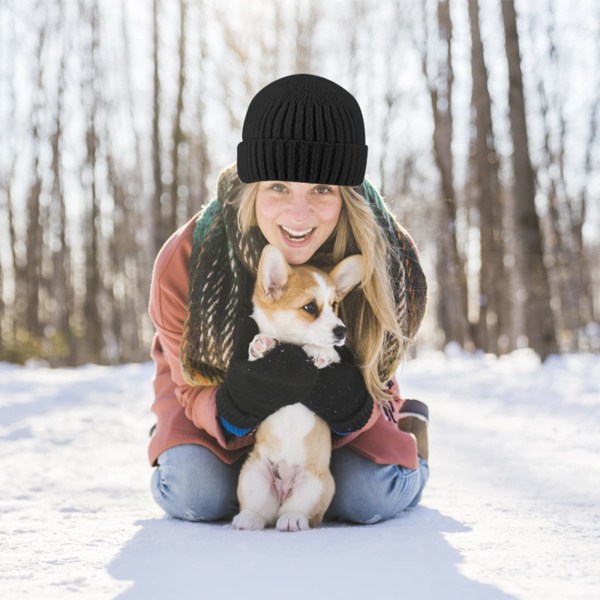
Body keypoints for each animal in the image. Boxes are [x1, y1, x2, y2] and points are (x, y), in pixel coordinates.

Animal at [232, 246, 364, 532]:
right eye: (310, 307)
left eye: (334, 305)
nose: (341, 331)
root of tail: (283, 489)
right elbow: (253, 359)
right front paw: (261, 345)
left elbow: (329, 354)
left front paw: (319, 351)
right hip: (253, 475)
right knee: (259, 510)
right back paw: (248, 519)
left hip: (316, 485)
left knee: (296, 511)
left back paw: (292, 519)